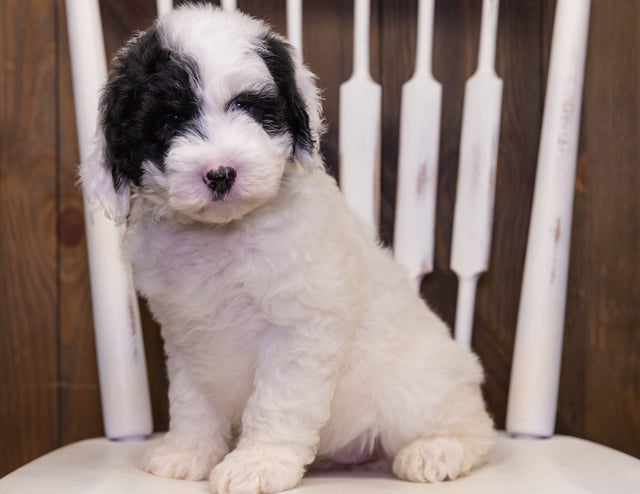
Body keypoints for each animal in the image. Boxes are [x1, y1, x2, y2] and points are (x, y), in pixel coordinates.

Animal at [81, 3, 496, 494]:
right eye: (168, 123)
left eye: (253, 110)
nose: (221, 173)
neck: (222, 235)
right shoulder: (187, 337)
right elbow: (191, 401)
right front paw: (187, 454)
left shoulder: (299, 327)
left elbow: (276, 402)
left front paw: (257, 464)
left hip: (417, 387)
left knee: (474, 427)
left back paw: (435, 451)